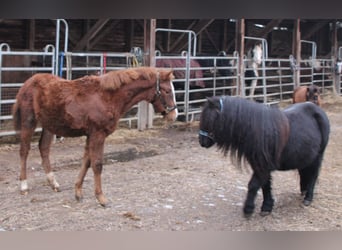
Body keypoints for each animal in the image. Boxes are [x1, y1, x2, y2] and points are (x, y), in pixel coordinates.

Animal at [12, 66, 179, 205]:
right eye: (167, 91)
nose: (174, 115)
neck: (108, 97)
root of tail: (29, 82)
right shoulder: (98, 134)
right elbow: (97, 164)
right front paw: (101, 198)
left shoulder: (90, 135)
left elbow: (86, 162)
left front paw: (78, 192)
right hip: (29, 121)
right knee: (24, 150)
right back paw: (23, 185)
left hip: (49, 125)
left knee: (44, 148)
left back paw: (53, 183)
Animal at [199, 95, 330, 217]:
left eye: (210, 119)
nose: (202, 142)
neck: (259, 132)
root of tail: (318, 110)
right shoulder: (260, 166)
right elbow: (265, 185)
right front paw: (267, 207)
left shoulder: (263, 167)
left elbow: (253, 185)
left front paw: (248, 209)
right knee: (304, 172)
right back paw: (303, 190)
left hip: (318, 156)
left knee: (313, 175)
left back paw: (308, 198)